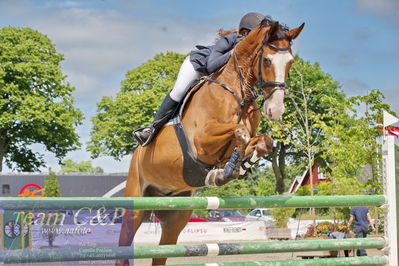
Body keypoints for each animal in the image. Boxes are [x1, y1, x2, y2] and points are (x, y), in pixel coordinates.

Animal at [117, 20, 304, 266]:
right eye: (266, 60)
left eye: (290, 62)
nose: (276, 110)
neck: (238, 92)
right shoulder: (202, 141)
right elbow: (240, 132)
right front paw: (227, 172)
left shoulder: (247, 138)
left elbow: (261, 141)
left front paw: (237, 168)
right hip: (136, 204)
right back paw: (146, 134)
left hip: (175, 215)